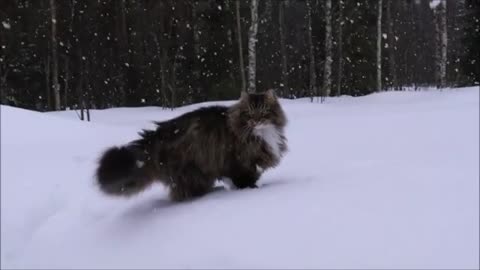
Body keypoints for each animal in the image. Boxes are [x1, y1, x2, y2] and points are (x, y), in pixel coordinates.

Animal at [95, 89, 286, 201]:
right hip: (192, 173)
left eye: (264, 111)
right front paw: (252, 190)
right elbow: (245, 181)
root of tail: (154, 136)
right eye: (249, 113)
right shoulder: (240, 165)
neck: (261, 134)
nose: (256, 120)